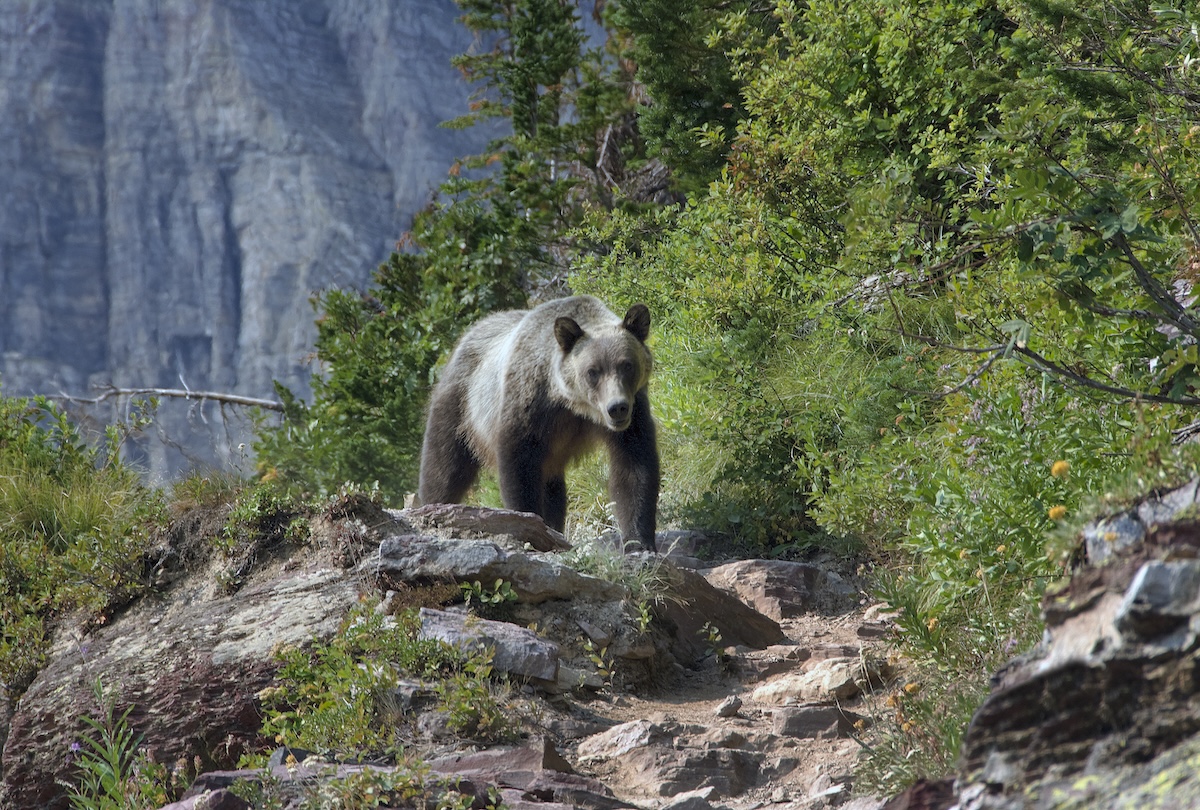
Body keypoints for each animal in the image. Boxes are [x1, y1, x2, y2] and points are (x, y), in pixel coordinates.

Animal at [417, 295, 660, 550]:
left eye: (627, 365)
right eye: (593, 371)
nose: (617, 408)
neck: (571, 403)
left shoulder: (633, 413)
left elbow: (634, 466)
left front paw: (639, 541)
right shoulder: (528, 406)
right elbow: (519, 467)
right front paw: (527, 524)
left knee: (553, 489)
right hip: (463, 405)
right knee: (444, 464)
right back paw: (433, 505)